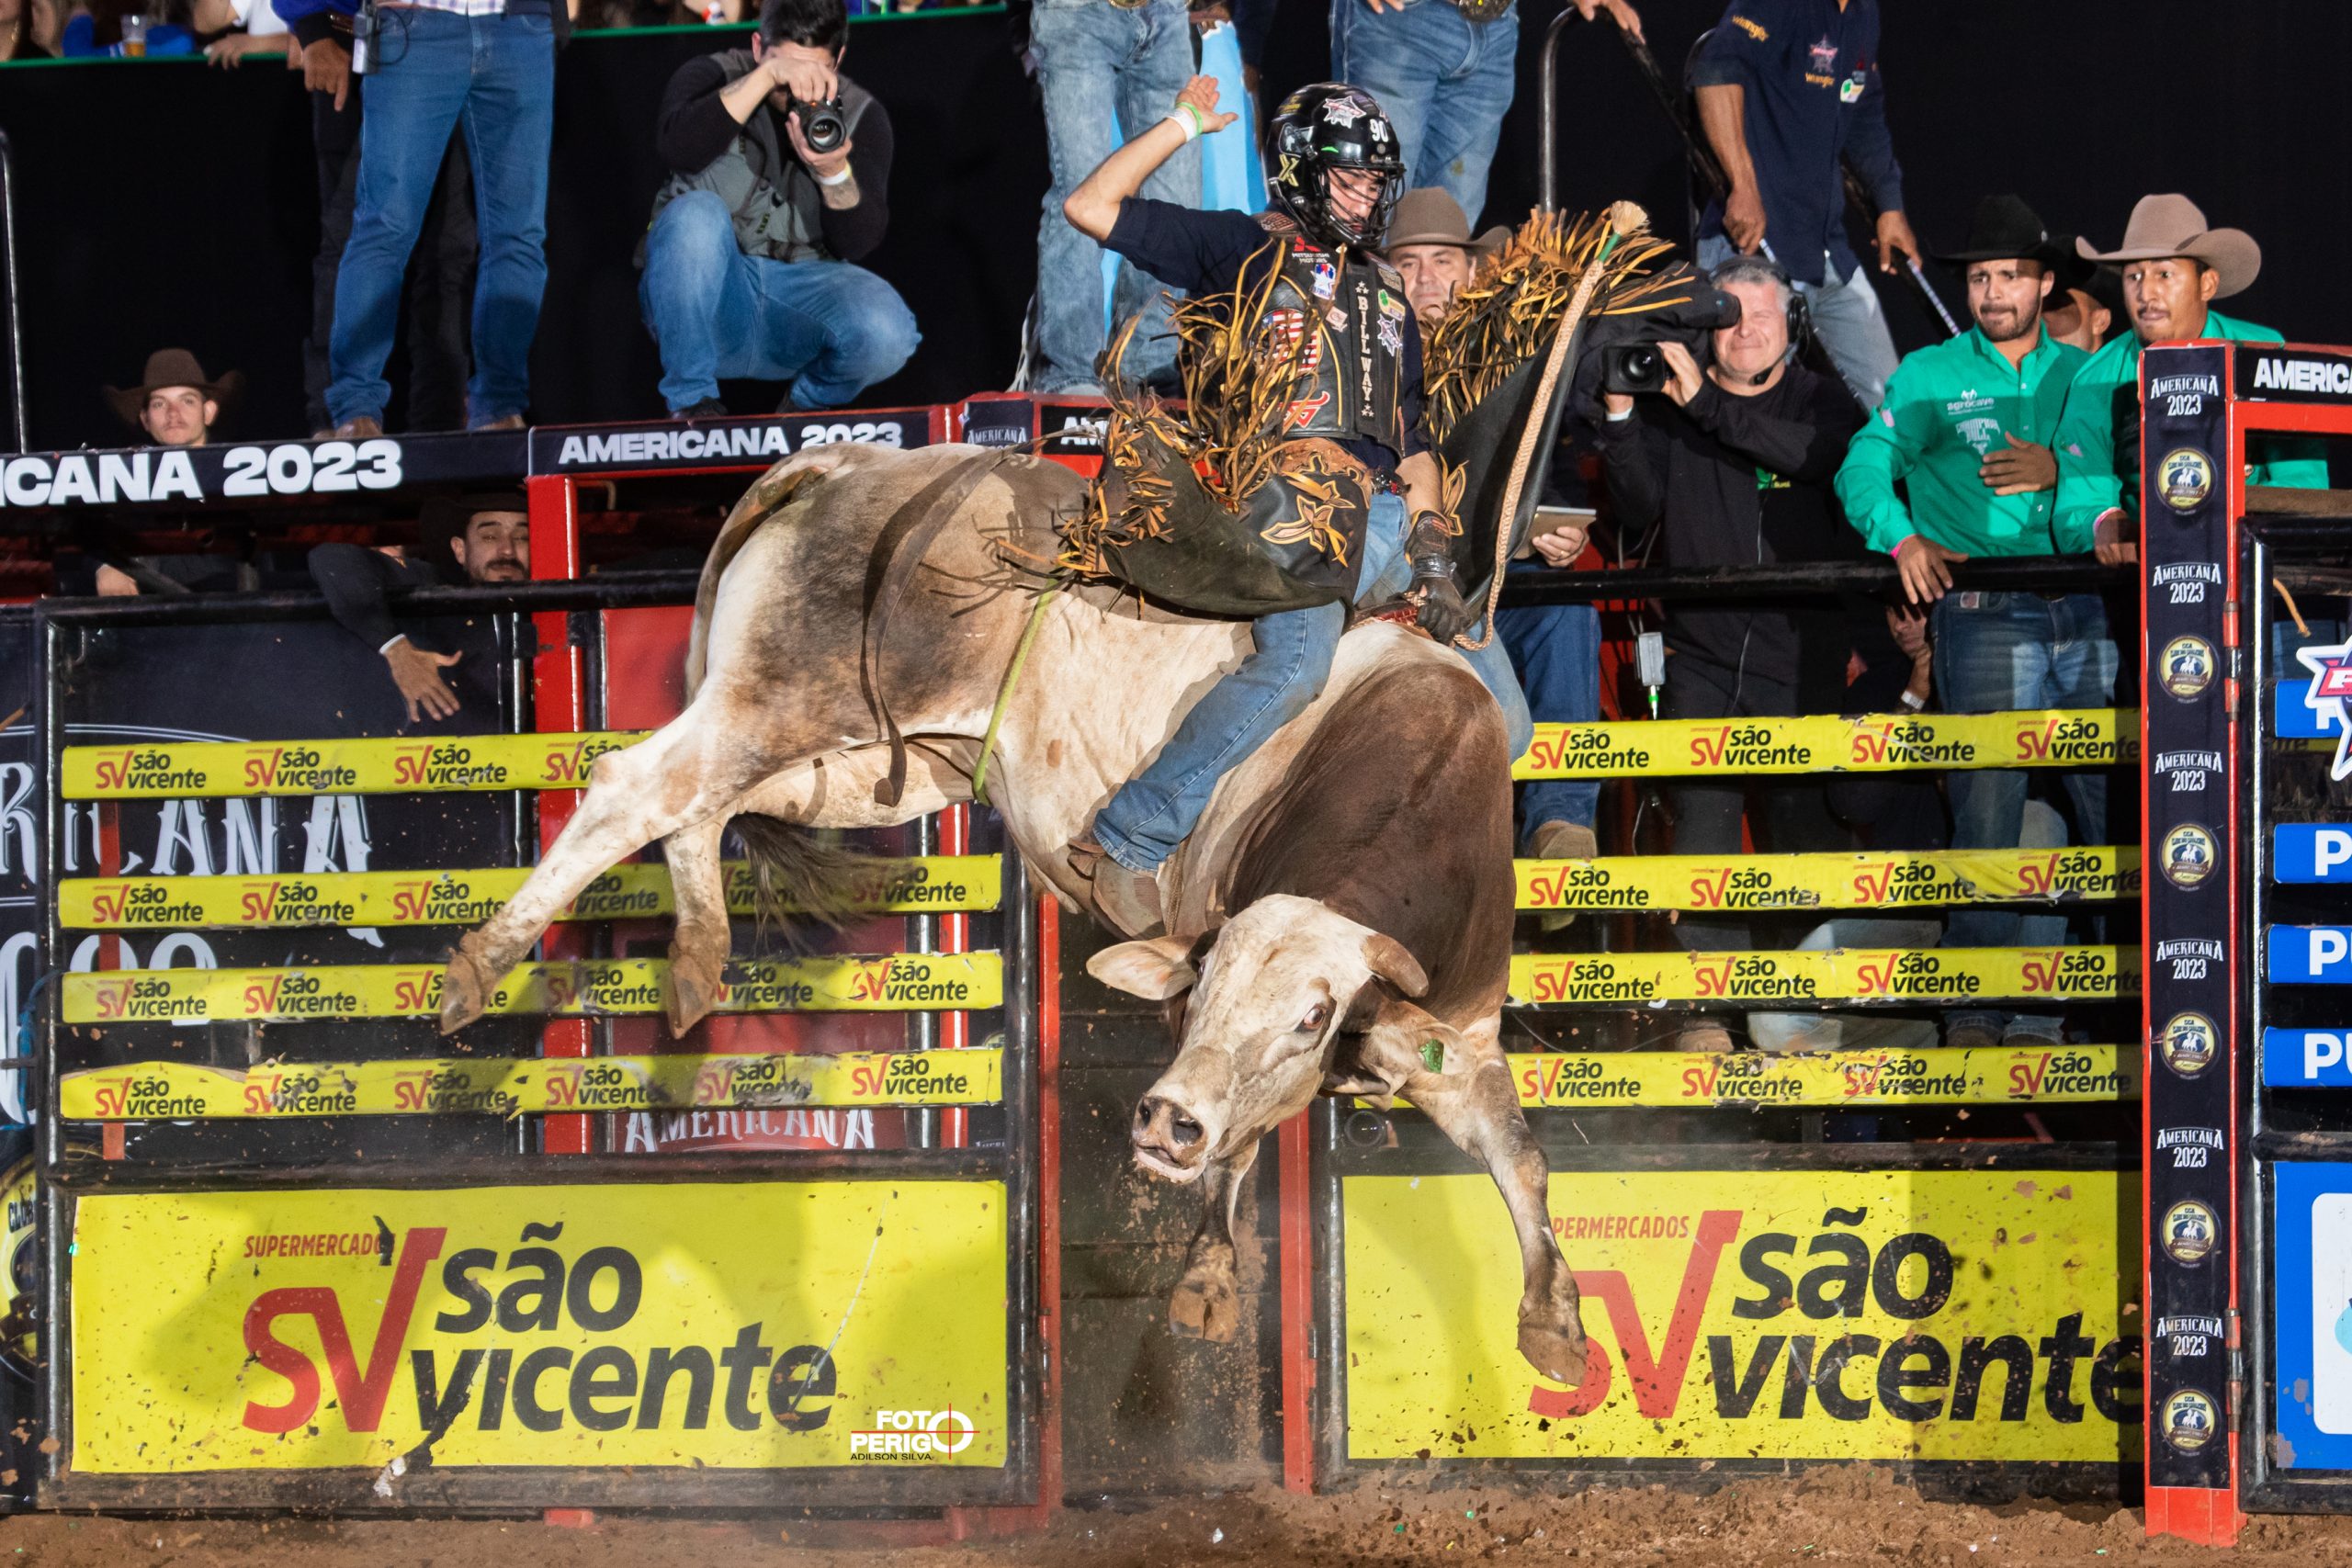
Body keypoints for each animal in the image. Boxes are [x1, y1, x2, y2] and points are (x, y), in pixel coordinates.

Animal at [433, 442, 1589, 1382]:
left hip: (875, 766)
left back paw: (694, 964)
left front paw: (1554, 1329)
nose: (1166, 1121)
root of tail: (850, 462)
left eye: (1314, 1017)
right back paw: (479, 968)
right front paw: (1209, 1277)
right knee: (641, 785)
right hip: (783, 696)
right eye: (1204, 985)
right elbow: (1240, 1148)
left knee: (705, 806)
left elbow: (1521, 1159)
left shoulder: (1459, 1036)